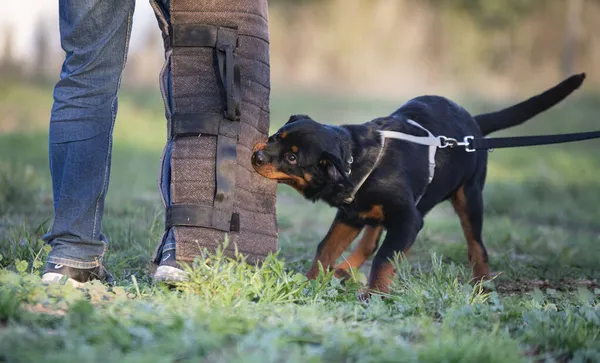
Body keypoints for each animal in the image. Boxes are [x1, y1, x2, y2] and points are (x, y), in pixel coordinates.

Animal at [250, 74, 584, 298]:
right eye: (275, 136)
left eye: (292, 158)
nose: (256, 156)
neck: (354, 160)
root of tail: (474, 127)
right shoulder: (349, 215)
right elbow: (326, 248)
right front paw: (308, 282)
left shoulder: (409, 218)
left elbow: (386, 257)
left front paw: (375, 294)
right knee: (371, 240)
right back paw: (346, 268)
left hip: (469, 195)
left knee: (476, 245)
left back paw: (482, 283)